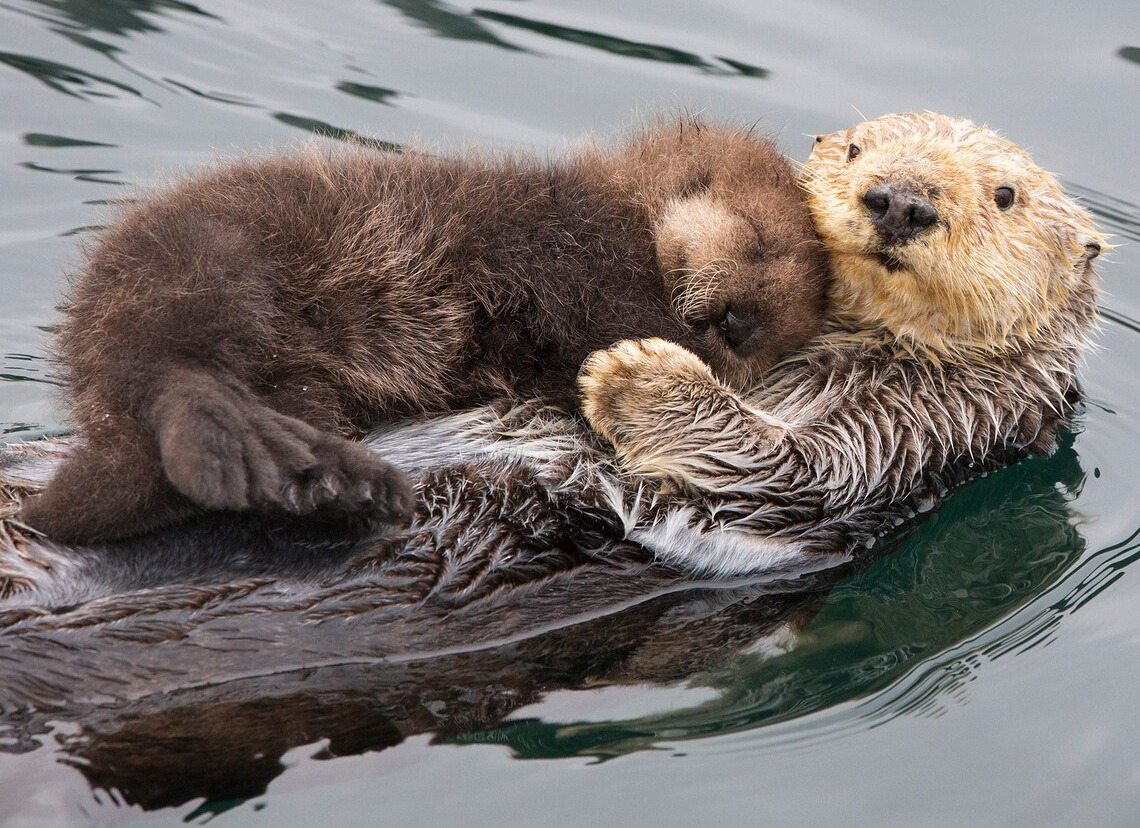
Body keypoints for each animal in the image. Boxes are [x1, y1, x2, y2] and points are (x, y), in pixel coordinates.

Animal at [17, 116, 829, 545]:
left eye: (783, 328)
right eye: (760, 241)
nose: (743, 322)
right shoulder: (576, 251)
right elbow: (613, 317)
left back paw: (327, 480)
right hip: (209, 261)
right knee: (176, 374)